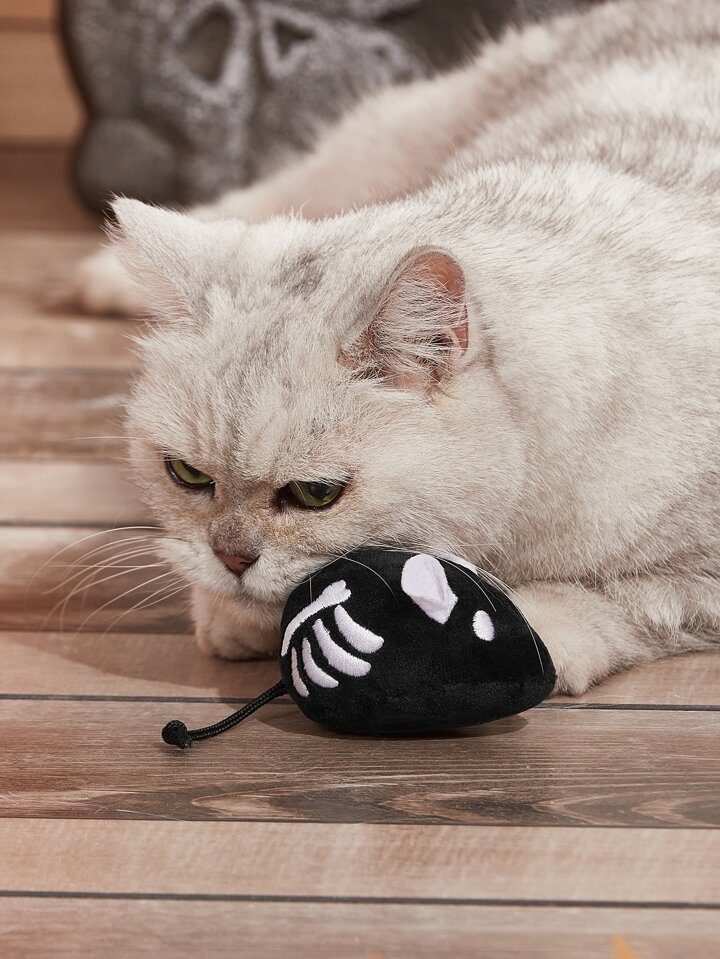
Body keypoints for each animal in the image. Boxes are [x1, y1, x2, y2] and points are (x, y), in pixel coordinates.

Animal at [74, 0, 720, 694]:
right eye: (188, 476)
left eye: (316, 494)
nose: (232, 559)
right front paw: (234, 610)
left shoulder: (696, 581)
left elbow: (614, 599)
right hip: (384, 140)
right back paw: (101, 273)